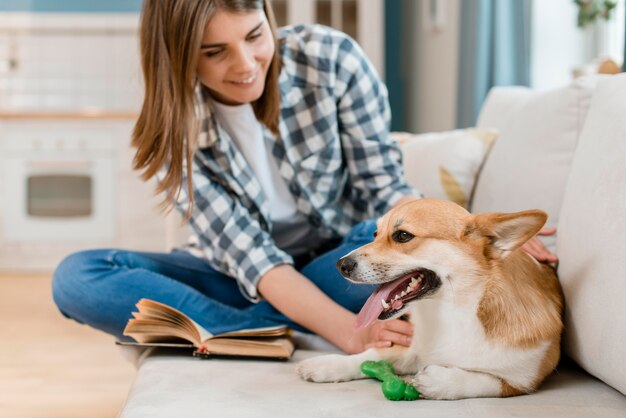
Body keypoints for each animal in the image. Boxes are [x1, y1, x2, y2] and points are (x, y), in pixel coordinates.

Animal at [294, 198, 564, 400]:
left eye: (403, 236)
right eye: (375, 233)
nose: (341, 265)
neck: (453, 312)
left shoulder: (521, 380)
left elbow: (484, 380)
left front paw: (440, 381)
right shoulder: (411, 347)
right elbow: (372, 354)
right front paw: (327, 365)